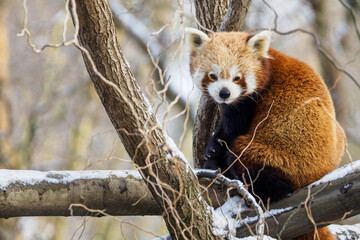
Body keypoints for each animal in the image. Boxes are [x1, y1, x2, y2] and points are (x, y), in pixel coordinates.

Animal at [187, 27, 344, 239]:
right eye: (213, 75)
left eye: (237, 77)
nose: (224, 93)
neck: (269, 63)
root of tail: (323, 172)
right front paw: (212, 151)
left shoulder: (248, 102)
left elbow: (232, 130)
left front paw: (214, 150)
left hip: (285, 157)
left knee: (244, 154)